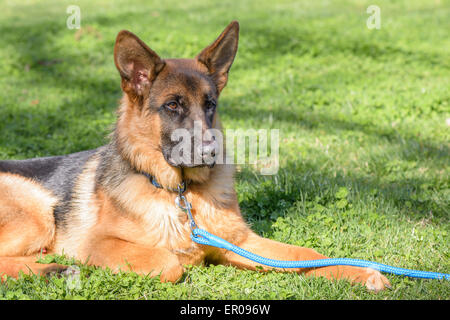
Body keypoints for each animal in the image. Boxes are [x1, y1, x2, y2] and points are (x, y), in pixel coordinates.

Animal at [0, 21, 390, 292]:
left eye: (210, 104)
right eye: (173, 106)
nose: (211, 152)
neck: (180, 194)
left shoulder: (242, 244)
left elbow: (307, 255)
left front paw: (361, 272)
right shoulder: (96, 242)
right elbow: (170, 262)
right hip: (38, 209)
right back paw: (54, 268)